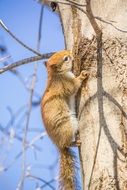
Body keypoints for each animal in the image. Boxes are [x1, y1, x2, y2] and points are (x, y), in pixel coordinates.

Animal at [41, 49, 89, 189]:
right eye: (66, 59)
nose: (70, 52)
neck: (56, 75)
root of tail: (59, 144)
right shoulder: (66, 84)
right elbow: (75, 85)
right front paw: (82, 75)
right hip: (69, 124)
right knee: (67, 142)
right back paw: (75, 142)